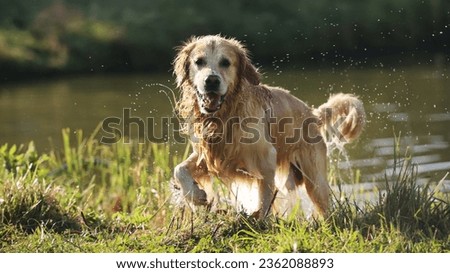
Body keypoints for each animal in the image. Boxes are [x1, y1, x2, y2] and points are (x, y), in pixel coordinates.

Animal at [171, 35, 364, 218]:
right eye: (199, 61)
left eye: (225, 62)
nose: (211, 80)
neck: (225, 116)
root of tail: (312, 113)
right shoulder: (211, 154)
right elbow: (178, 169)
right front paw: (195, 195)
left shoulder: (265, 160)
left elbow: (264, 200)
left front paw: (260, 221)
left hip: (315, 178)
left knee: (324, 207)